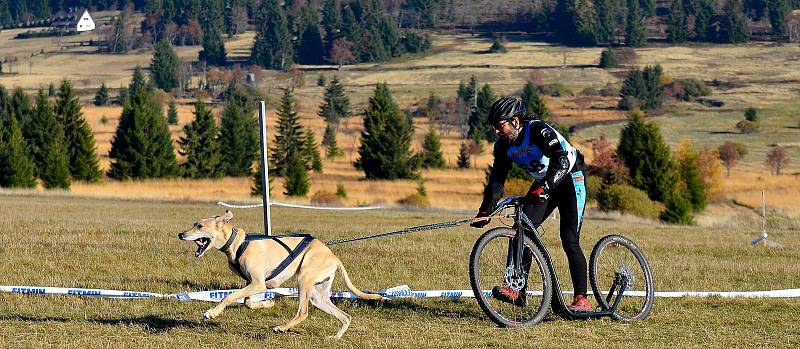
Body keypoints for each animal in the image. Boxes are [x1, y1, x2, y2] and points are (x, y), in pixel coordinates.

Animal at [180, 209, 382, 338]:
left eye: (199, 226)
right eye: (194, 224)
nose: (180, 235)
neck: (237, 243)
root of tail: (333, 256)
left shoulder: (258, 283)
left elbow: (228, 297)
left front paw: (212, 313)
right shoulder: (253, 284)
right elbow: (247, 302)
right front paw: (267, 303)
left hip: (303, 281)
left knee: (303, 312)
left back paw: (282, 328)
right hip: (318, 295)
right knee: (345, 316)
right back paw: (335, 338)